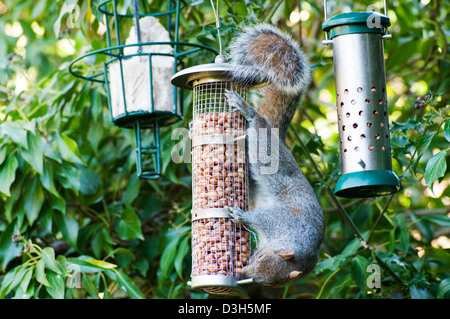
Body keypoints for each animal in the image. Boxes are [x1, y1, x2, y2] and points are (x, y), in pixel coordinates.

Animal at [224, 23, 326, 288]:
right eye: (259, 259)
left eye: (262, 282)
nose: (242, 274)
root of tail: (277, 136)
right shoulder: (281, 219)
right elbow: (261, 217)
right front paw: (241, 216)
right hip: (267, 153)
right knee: (258, 125)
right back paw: (249, 113)